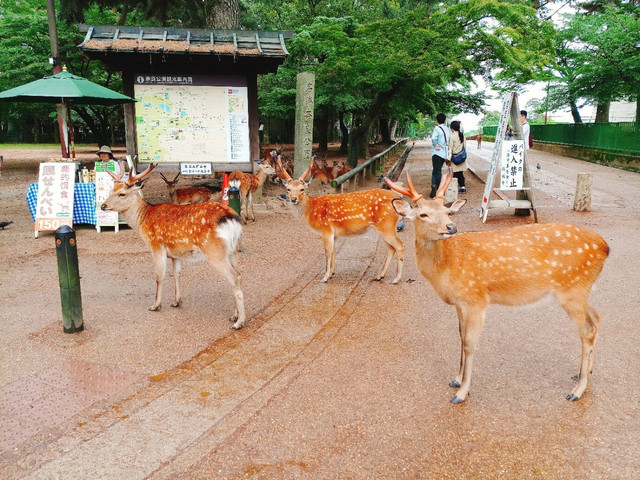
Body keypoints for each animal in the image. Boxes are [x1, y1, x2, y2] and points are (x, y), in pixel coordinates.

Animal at [104, 161, 246, 330]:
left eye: (122, 194)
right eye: (110, 190)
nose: (103, 206)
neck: (143, 219)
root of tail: (231, 219)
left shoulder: (156, 245)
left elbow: (159, 276)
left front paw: (155, 305)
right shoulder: (175, 253)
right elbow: (177, 274)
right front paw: (176, 301)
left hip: (214, 251)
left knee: (234, 278)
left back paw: (239, 322)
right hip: (233, 251)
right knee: (239, 275)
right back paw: (234, 315)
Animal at [384, 171, 608, 404]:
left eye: (447, 212)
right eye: (423, 214)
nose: (451, 227)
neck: (448, 265)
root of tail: (604, 246)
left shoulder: (476, 299)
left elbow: (469, 344)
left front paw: (462, 392)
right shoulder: (460, 303)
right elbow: (460, 337)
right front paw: (456, 379)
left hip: (572, 288)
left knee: (587, 329)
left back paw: (577, 390)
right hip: (579, 289)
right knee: (596, 318)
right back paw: (584, 372)